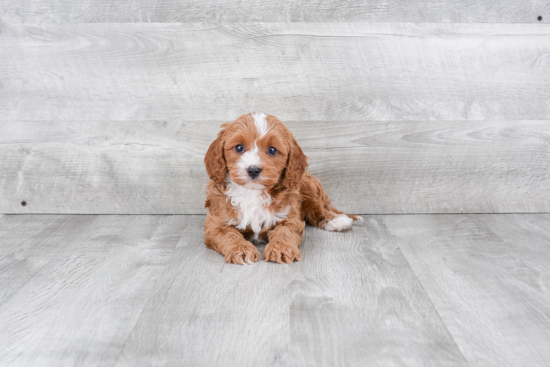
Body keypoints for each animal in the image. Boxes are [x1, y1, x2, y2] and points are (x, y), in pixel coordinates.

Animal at [205, 112, 364, 264]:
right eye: (239, 147)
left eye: (272, 150)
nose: (253, 170)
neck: (253, 192)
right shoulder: (216, 223)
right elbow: (228, 234)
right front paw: (241, 249)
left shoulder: (290, 217)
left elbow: (285, 231)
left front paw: (281, 248)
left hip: (309, 184)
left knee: (320, 210)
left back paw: (336, 221)